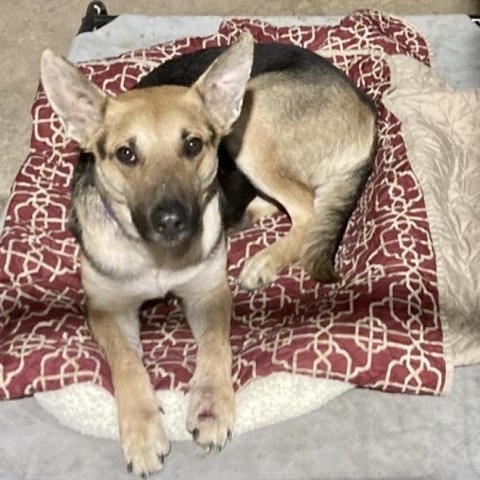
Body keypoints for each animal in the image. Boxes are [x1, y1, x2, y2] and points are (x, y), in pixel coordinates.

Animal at [40, 32, 376, 476]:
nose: (172, 220)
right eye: (126, 154)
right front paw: (141, 430)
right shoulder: (107, 311)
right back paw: (250, 215)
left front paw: (211, 404)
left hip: (255, 121)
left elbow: (216, 346)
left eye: (192, 145)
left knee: (307, 206)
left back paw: (265, 258)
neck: (157, 258)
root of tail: (365, 104)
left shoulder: (208, 295)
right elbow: (127, 365)